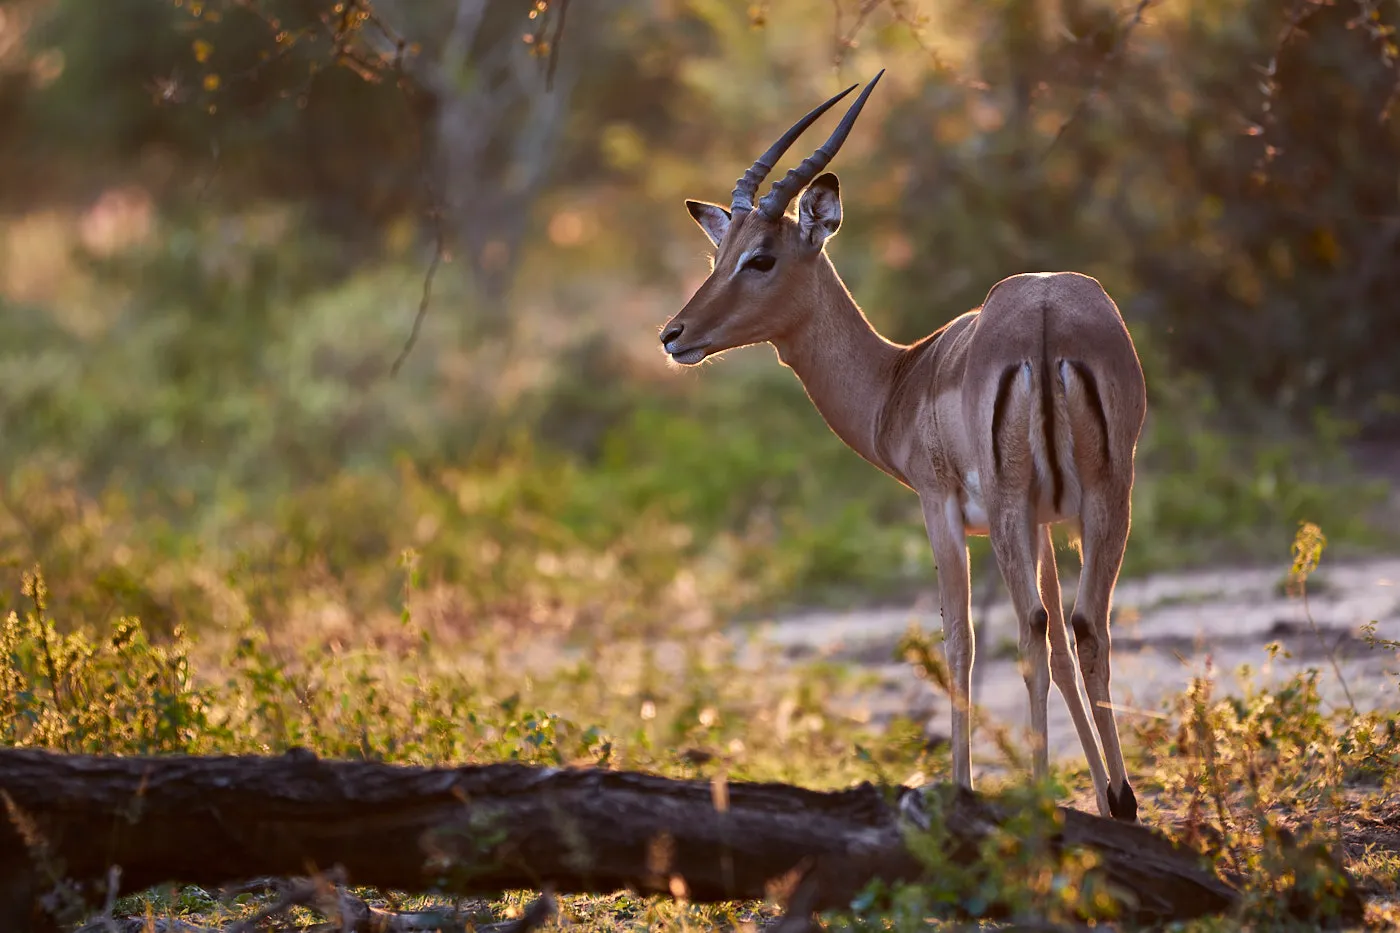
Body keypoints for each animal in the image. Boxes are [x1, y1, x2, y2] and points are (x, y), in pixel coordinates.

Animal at [658, 71, 1147, 822]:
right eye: (719, 253)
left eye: (761, 257)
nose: (674, 335)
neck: (901, 379)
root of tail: (1045, 319)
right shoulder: (1043, 523)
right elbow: (1062, 650)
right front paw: (1097, 794)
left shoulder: (941, 508)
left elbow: (960, 639)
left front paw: (963, 786)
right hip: (1105, 499)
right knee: (1087, 626)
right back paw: (1122, 801)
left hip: (1012, 508)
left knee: (1030, 627)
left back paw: (1039, 797)